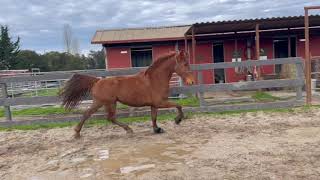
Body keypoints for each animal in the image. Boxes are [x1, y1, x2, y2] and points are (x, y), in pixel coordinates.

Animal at [59, 50, 195, 137]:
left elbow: (154, 117)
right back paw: (77, 133)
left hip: (108, 103)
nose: (192, 81)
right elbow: (178, 106)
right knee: (94, 115)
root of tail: (97, 81)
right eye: (185, 64)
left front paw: (157, 129)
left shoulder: (154, 104)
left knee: (109, 117)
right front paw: (178, 120)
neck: (154, 80)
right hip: (104, 103)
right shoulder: (160, 102)